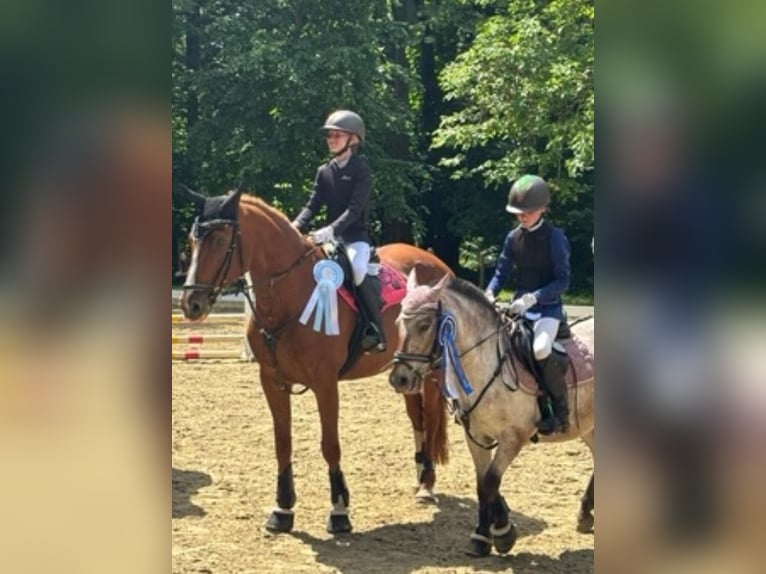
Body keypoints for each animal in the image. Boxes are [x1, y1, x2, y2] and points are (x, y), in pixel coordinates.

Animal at [178, 189, 456, 536]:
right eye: (192, 241)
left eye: (218, 241)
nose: (191, 304)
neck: (289, 297)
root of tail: (437, 263)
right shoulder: (271, 381)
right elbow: (282, 443)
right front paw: (282, 509)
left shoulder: (325, 384)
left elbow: (330, 445)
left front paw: (339, 510)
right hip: (408, 372)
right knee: (417, 420)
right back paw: (419, 480)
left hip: (431, 372)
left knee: (430, 419)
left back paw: (427, 486)